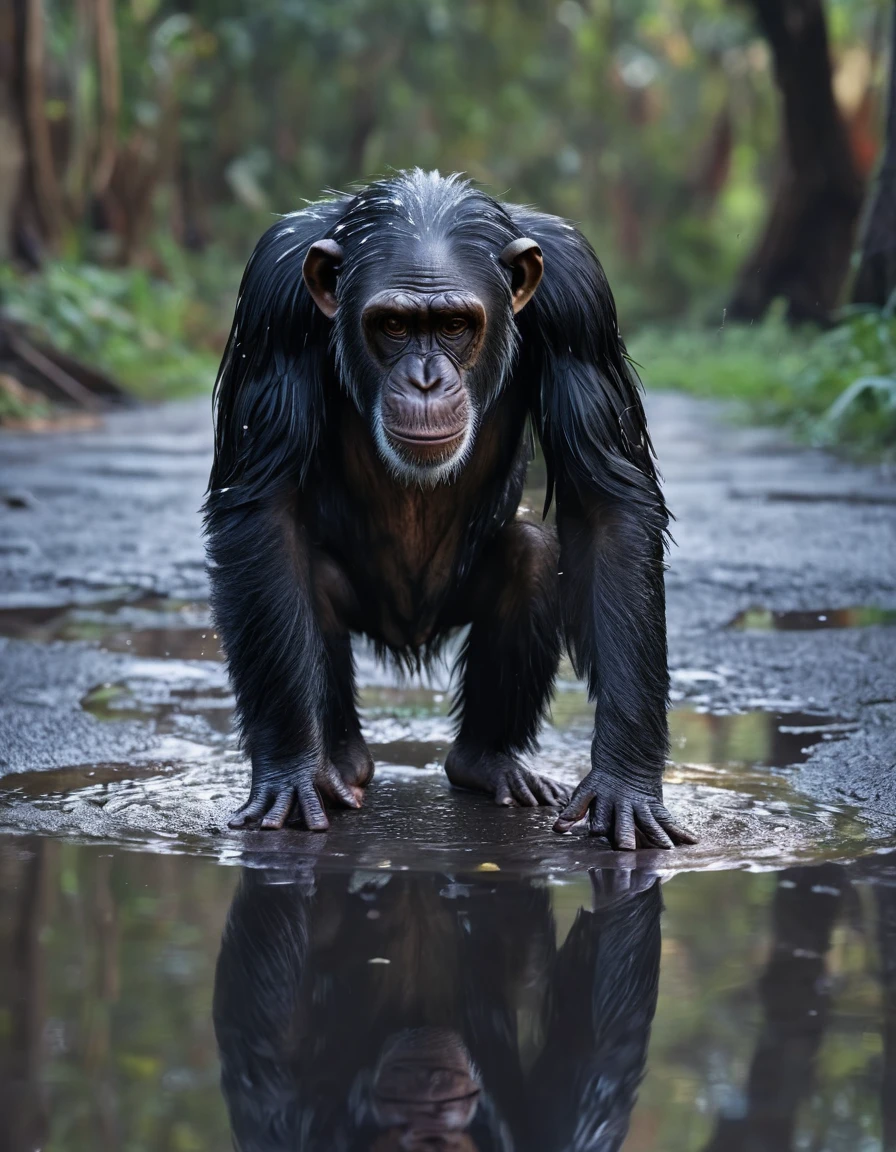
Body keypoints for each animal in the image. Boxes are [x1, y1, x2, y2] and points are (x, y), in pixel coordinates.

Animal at [206, 172, 695, 857]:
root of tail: (411, 636)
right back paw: (341, 762)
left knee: (532, 556)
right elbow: (263, 509)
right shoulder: (271, 300)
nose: (426, 378)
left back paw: (489, 763)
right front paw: (290, 773)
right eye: (393, 326)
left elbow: (609, 506)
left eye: (456, 325)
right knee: (304, 572)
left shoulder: (581, 300)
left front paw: (625, 785)